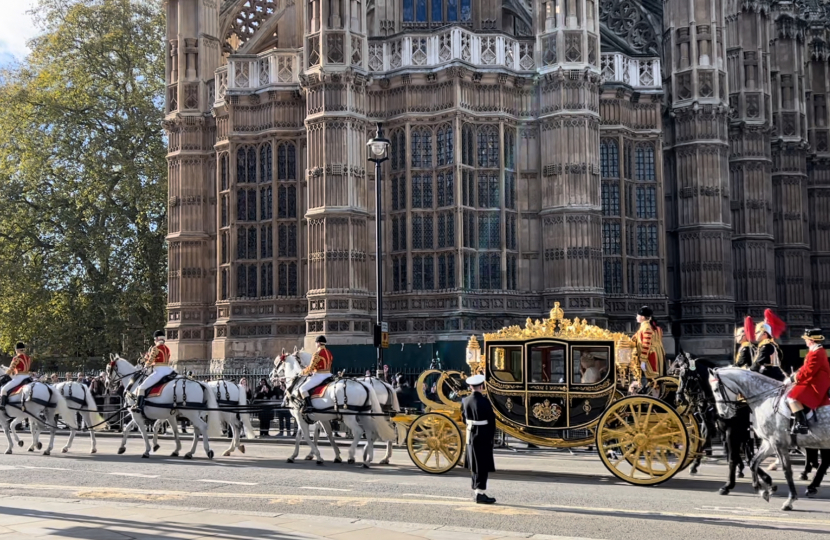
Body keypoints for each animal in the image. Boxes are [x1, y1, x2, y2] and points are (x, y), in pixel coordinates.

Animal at [708, 368, 830, 510]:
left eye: (716, 389)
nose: (723, 415)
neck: (766, 399)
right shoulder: (769, 443)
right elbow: (753, 462)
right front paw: (762, 490)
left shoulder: (777, 443)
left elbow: (787, 470)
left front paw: (790, 500)